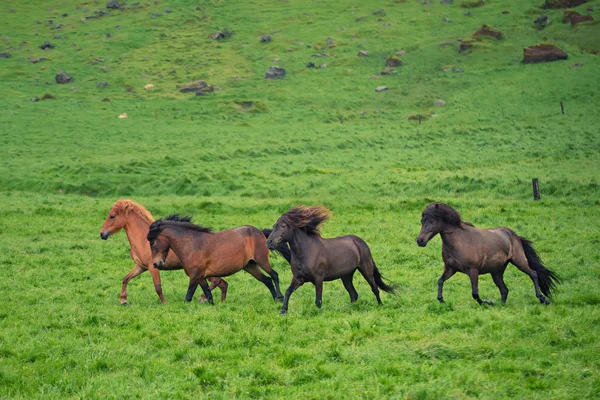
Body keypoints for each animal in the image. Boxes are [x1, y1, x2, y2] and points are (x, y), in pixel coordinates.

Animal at [98, 198, 230, 304]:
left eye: (112, 216)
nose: (102, 234)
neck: (144, 239)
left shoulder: (153, 267)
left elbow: (158, 287)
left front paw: (165, 303)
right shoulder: (141, 267)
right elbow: (125, 279)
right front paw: (123, 300)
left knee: (218, 282)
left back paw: (203, 298)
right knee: (223, 283)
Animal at [147, 217, 284, 304]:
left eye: (153, 242)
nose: (156, 264)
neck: (192, 244)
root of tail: (259, 232)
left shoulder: (194, 276)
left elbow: (188, 297)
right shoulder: (201, 277)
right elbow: (209, 295)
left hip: (262, 261)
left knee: (274, 275)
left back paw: (280, 298)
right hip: (250, 266)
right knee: (267, 280)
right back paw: (275, 299)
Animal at [264, 206, 396, 316]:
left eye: (283, 226)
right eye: (274, 226)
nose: (269, 242)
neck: (306, 252)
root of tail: (360, 242)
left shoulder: (318, 278)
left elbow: (318, 299)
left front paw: (319, 313)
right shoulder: (298, 278)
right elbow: (288, 291)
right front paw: (283, 311)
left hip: (365, 269)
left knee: (374, 288)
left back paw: (380, 305)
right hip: (346, 276)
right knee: (353, 294)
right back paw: (348, 309)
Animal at [414, 202, 560, 304]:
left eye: (431, 221)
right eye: (422, 221)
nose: (420, 241)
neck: (459, 242)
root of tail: (513, 235)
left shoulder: (473, 271)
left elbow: (475, 294)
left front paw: (487, 302)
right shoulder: (451, 269)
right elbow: (440, 281)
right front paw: (441, 300)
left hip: (519, 262)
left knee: (533, 274)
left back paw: (543, 299)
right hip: (496, 272)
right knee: (504, 290)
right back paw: (501, 305)